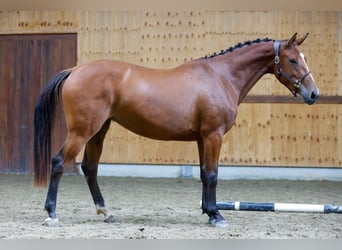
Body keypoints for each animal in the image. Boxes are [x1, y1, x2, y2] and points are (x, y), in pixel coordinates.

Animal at [34, 33, 318, 229]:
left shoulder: (203, 139)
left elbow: (204, 174)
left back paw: (106, 212)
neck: (220, 76)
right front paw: (217, 215)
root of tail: (74, 70)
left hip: (98, 132)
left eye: (305, 58)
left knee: (90, 168)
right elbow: (213, 175)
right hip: (82, 132)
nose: (313, 93)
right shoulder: (213, 135)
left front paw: (208, 211)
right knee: (59, 162)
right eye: (293, 59)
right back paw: (52, 214)